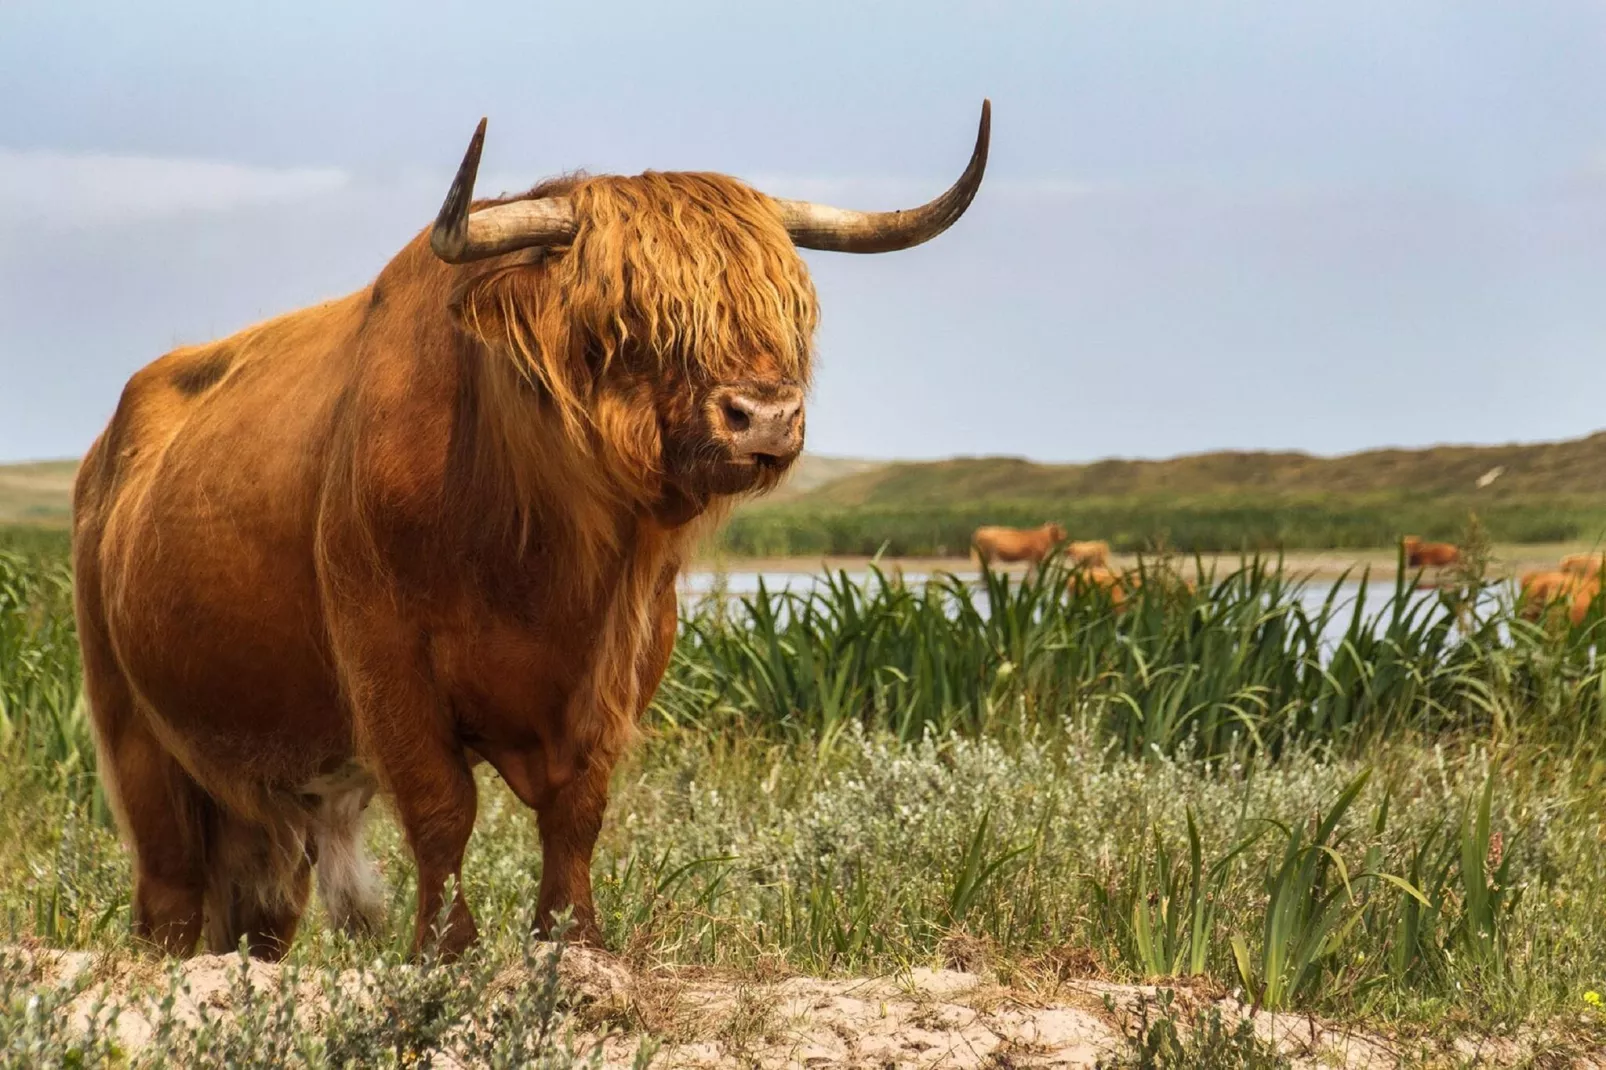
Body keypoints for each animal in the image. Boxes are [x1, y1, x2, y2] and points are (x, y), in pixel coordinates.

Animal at [75, 106, 995, 957]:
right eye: (626, 323)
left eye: (785, 317)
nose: (763, 416)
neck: (540, 559)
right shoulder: (385, 656)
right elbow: (443, 809)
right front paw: (446, 949)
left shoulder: (622, 664)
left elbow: (577, 809)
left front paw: (573, 939)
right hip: (135, 735)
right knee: (168, 894)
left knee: (258, 913)